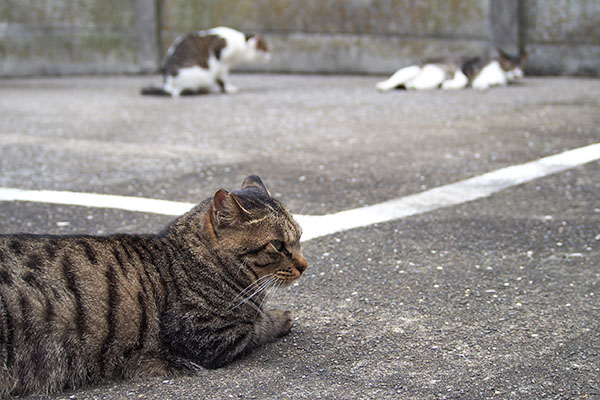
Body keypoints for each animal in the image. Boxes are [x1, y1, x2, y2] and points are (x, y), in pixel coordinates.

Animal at [0, 176, 304, 396]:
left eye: (300, 237)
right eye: (278, 245)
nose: (305, 264)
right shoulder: (210, 338)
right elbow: (260, 326)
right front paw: (281, 317)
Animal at [142, 26, 270, 97]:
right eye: (266, 48)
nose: (270, 55)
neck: (240, 43)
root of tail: (166, 85)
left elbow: (220, 79)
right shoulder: (221, 61)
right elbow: (223, 79)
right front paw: (229, 89)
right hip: (200, 73)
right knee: (182, 91)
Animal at [378, 49, 528, 91]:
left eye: (520, 67)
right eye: (510, 65)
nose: (517, 75)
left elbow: (482, 82)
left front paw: (480, 84)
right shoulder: (466, 65)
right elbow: (463, 79)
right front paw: (450, 85)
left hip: (432, 79)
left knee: (412, 84)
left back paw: (413, 86)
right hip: (414, 68)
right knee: (396, 77)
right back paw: (383, 85)